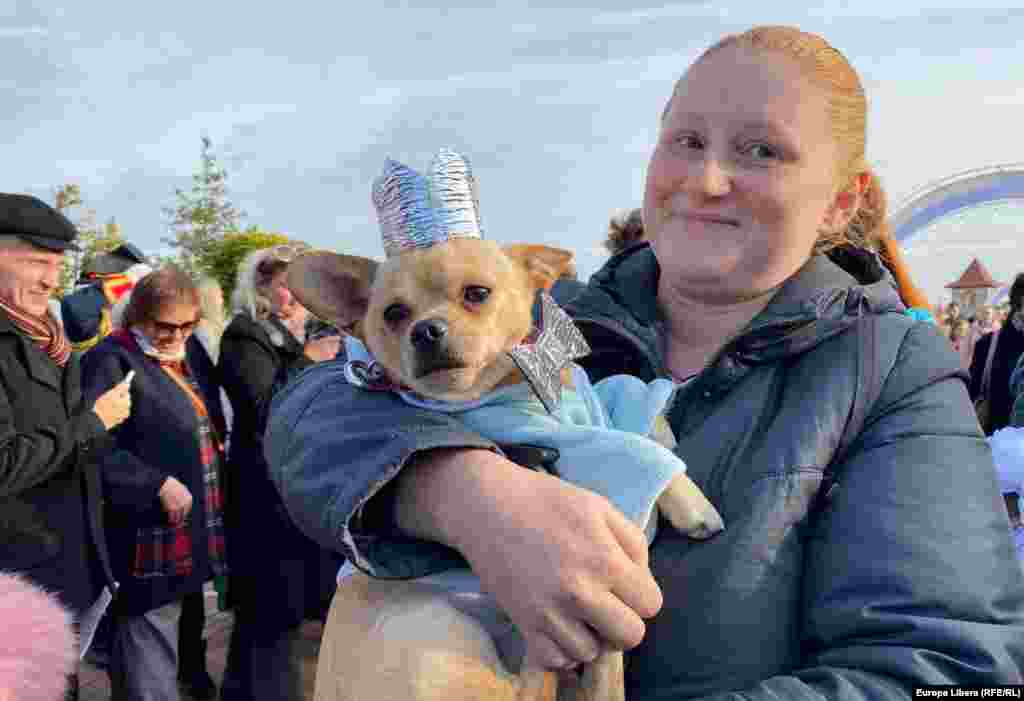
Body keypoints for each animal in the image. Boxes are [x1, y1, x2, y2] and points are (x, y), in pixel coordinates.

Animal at [284, 236, 724, 699]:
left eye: (477, 294)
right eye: (393, 313)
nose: (425, 330)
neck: (519, 385)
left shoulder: (603, 401)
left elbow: (634, 398)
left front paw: (681, 473)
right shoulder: (586, 446)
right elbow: (635, 441)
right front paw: (695, 506)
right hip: (440, 638)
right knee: (531, 683)